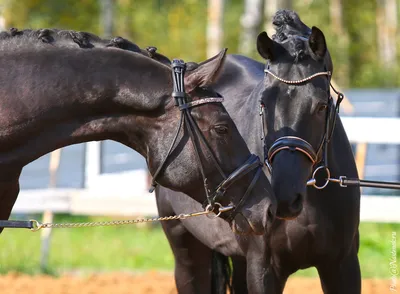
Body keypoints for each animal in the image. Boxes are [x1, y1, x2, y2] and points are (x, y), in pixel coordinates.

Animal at [155, 9, 360, 294]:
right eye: (264, 102)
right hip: (186, 250)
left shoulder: (342, 265)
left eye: (321, 106)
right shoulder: (264, 268)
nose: (284, 197)